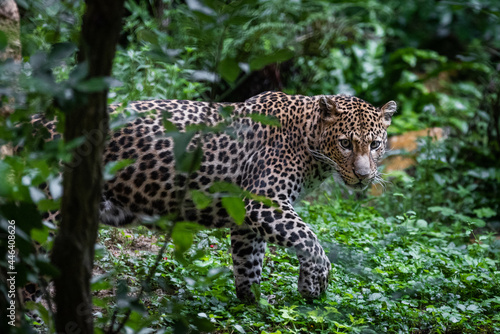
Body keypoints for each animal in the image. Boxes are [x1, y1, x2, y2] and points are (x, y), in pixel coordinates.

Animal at [32, 90, 398, 302]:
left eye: (375, 144)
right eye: (346, 143)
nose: (364, 176)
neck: (310, 139)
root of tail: (36, 120)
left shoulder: (248, 218)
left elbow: (249, 264)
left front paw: (252, 306)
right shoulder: (263, 201)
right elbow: (310, 240)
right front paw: (314, 285)